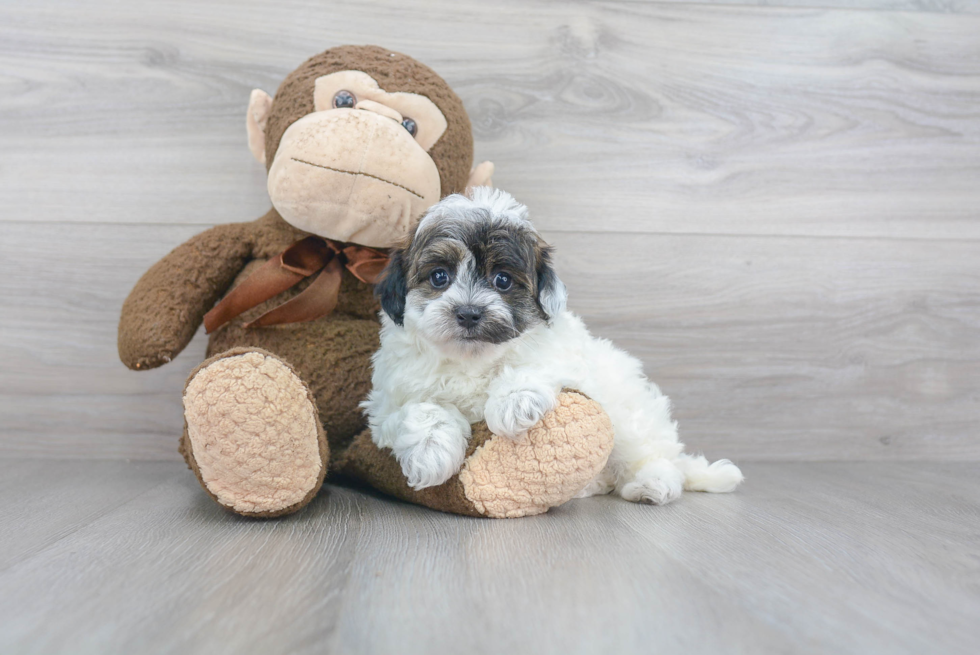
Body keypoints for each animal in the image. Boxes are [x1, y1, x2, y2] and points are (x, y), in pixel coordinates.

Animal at [364, 187, 748, 504]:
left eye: (502, 280)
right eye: (439, 277)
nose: (469, 313)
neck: (472, 359)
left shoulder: (565, 356)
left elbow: (535, 364)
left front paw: (514, 402)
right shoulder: (385, 406)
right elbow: (422, 409)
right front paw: (430, 454)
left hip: (629, 415)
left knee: (652, 455)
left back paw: (651, 484)